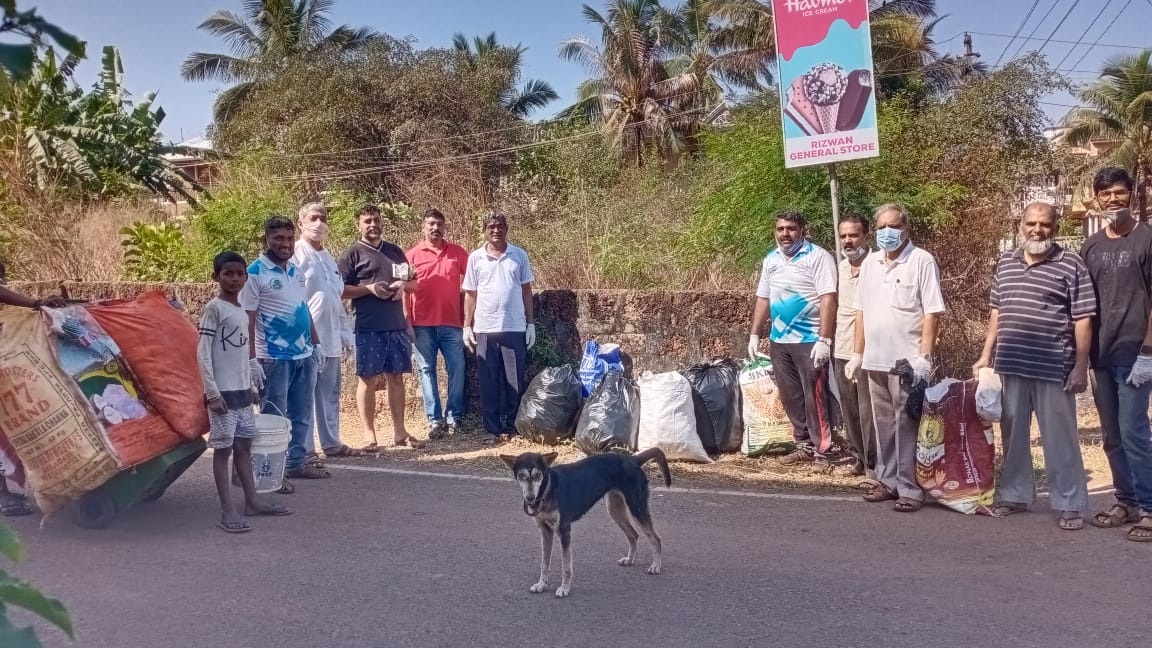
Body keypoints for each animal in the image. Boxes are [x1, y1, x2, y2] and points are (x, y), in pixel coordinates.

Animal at [497, 449, 672, 594]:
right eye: (522, 476)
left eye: (538, 475)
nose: (530, 498)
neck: (548, 489)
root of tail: (633, 459)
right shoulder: (545, 531)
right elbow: (544, 563)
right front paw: (542, 584)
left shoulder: (564, 531)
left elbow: (566, 566)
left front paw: (564, 588)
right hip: (614, 509)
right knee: (633, 534)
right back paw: (630, 559)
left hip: (637, 507)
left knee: (656, 538)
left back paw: (656, 565)